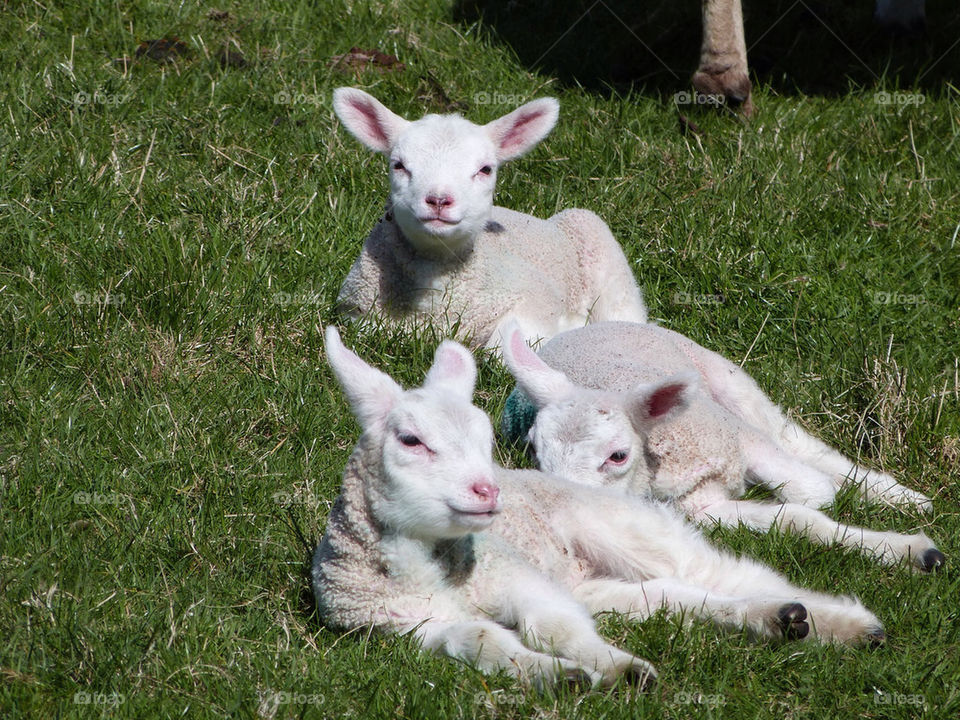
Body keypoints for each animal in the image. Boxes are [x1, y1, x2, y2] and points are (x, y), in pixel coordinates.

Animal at [314, 326, 887, 689]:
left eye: (482, 438)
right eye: (411, 441)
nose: (488, 492)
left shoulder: (518, 576)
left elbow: (554, 629)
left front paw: (618, 669)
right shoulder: (409, 627)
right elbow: (479, 639)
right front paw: (560, 677)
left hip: (640, 521)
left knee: (731, 568)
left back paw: (849, 616)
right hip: (599, 581)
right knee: (677, 594)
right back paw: (785, 620)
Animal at [331, 87, 648, 353]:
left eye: (485, 169)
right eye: (398, 165)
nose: (438, 199)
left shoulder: (534, 298)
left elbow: (504, 349)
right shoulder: (356, 311)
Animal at [499, 321, 944, 572]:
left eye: (617, 456)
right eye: (534, 451)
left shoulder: (740, 440)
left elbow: (812, 492)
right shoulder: (701, 509)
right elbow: (795, 519)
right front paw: (904, 551)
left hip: (727, 381)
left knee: (793, 440)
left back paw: (901, 496)